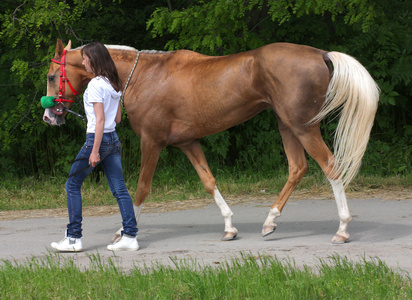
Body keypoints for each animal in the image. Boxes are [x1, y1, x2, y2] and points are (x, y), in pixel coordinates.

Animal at [42, 38, 380, 244]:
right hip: (287, 125)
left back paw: (342, 228)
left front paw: (124, 233)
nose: (49, 117)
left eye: (50, 76)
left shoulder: (152, 142)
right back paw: (269, 221)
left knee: (330, 166)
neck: (142, 76)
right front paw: (229, 227)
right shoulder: (188, 143)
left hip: (303, 127)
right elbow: (208, 180)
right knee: (298, 168)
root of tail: (320, 54)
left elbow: (141, 187)